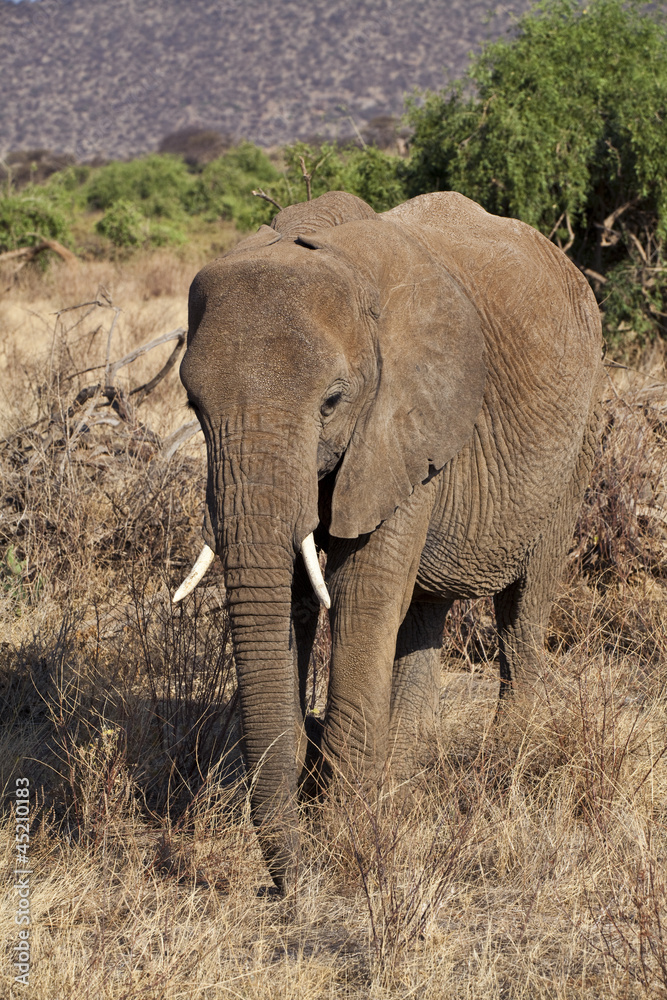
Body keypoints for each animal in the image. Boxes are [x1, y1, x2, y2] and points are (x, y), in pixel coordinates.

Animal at [173, 189, 603, 895]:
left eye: (332, 401)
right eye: (192, 407)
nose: (290, 889)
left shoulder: (403, 419)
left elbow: (362, 592)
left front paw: (343, 836)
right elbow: (297, 596)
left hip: (574, 445)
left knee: (522, 608)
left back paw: (499, 770)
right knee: (426, 608)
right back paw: (401, 784)